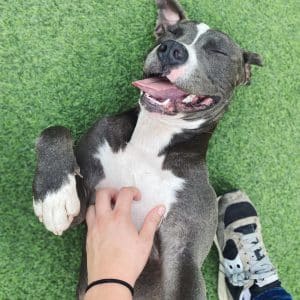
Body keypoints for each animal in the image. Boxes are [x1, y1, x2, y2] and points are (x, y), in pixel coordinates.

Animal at [32, 1, 262, 298]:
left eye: (218, 51)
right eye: (170, 33)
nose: (171, 49)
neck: (151, 140)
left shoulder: (183, 251)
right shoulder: (87, 206)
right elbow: (55, 130)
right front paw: (54, 194)